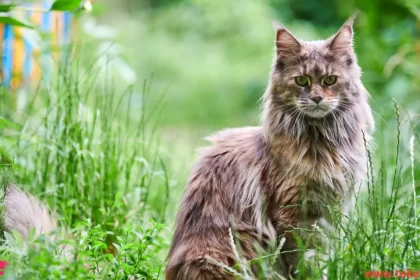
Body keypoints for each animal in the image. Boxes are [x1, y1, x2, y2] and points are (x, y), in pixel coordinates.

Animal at [164, 14, 374, 280]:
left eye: (330, 80)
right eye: (302, 81)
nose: (316, 98)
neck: (320, 141)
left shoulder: (332, 211)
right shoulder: (293, 214)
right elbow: (305, 261)